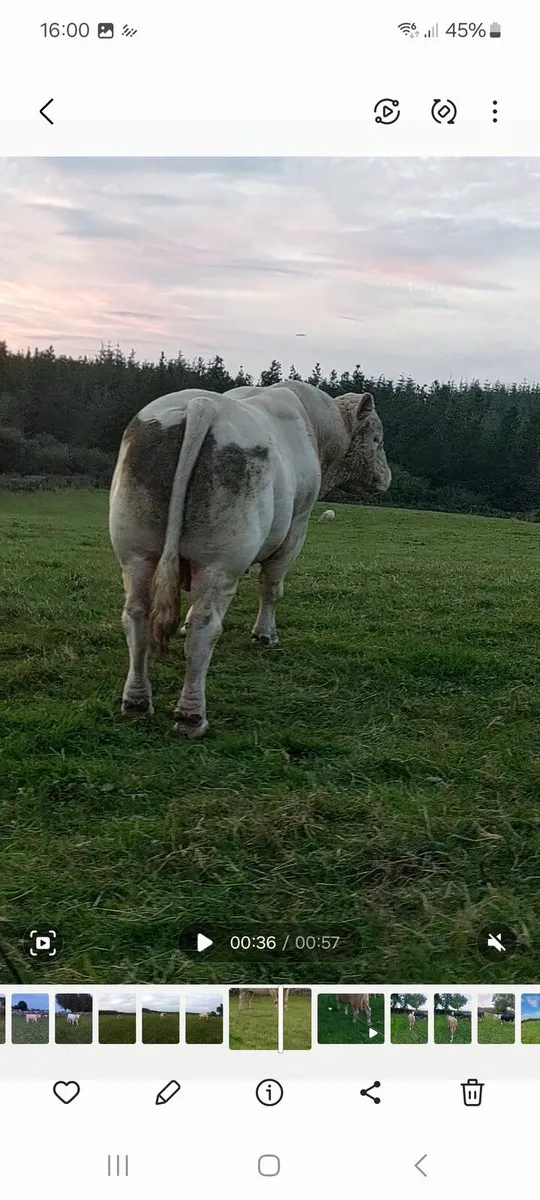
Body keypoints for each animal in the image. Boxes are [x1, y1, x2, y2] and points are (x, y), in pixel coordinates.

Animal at [109, 381, 390, 738]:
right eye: (377, 439)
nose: (386, 477)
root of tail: (202, 405)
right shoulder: (297, 528)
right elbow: (272, 586)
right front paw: (265, 635)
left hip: (136, 551)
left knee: (136, 615)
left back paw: (136, 701)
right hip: (220, 560)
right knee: (205, 626)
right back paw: (191, 716)